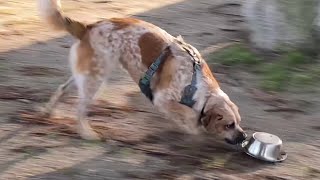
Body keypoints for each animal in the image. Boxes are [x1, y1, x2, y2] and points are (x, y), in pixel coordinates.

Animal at [38, 0, 248, 144]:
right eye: (229, 124)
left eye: (239, 122)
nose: (244, 136)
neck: (198, 85)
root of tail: (89, 27)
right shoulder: (162, 98)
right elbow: (188, 114)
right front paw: (191, 127)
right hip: (95, 80)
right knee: (80, 109)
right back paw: (87, 133)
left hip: (86, 76)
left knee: (62, 89)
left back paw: (48, 111)